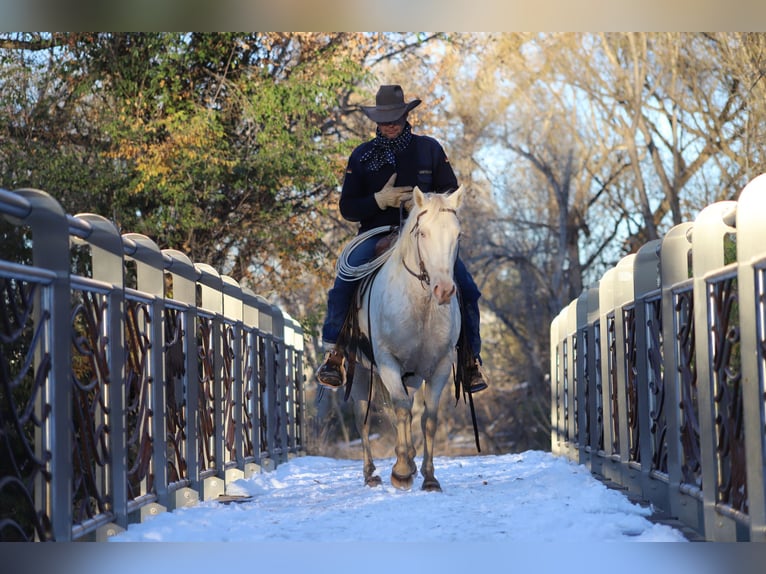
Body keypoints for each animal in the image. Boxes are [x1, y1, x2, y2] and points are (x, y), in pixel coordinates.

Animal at [352, 187, 464, 492]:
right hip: (360, 373)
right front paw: (401, 472)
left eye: (457, 234)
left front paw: (429, 477)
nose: (444, 289)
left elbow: (428, 418)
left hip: (412, 376)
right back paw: (371, 473)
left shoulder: (439, 365)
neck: (420, 306)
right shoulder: (388, 361)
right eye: (422, 233)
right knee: (364, 417)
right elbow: (401, 411)